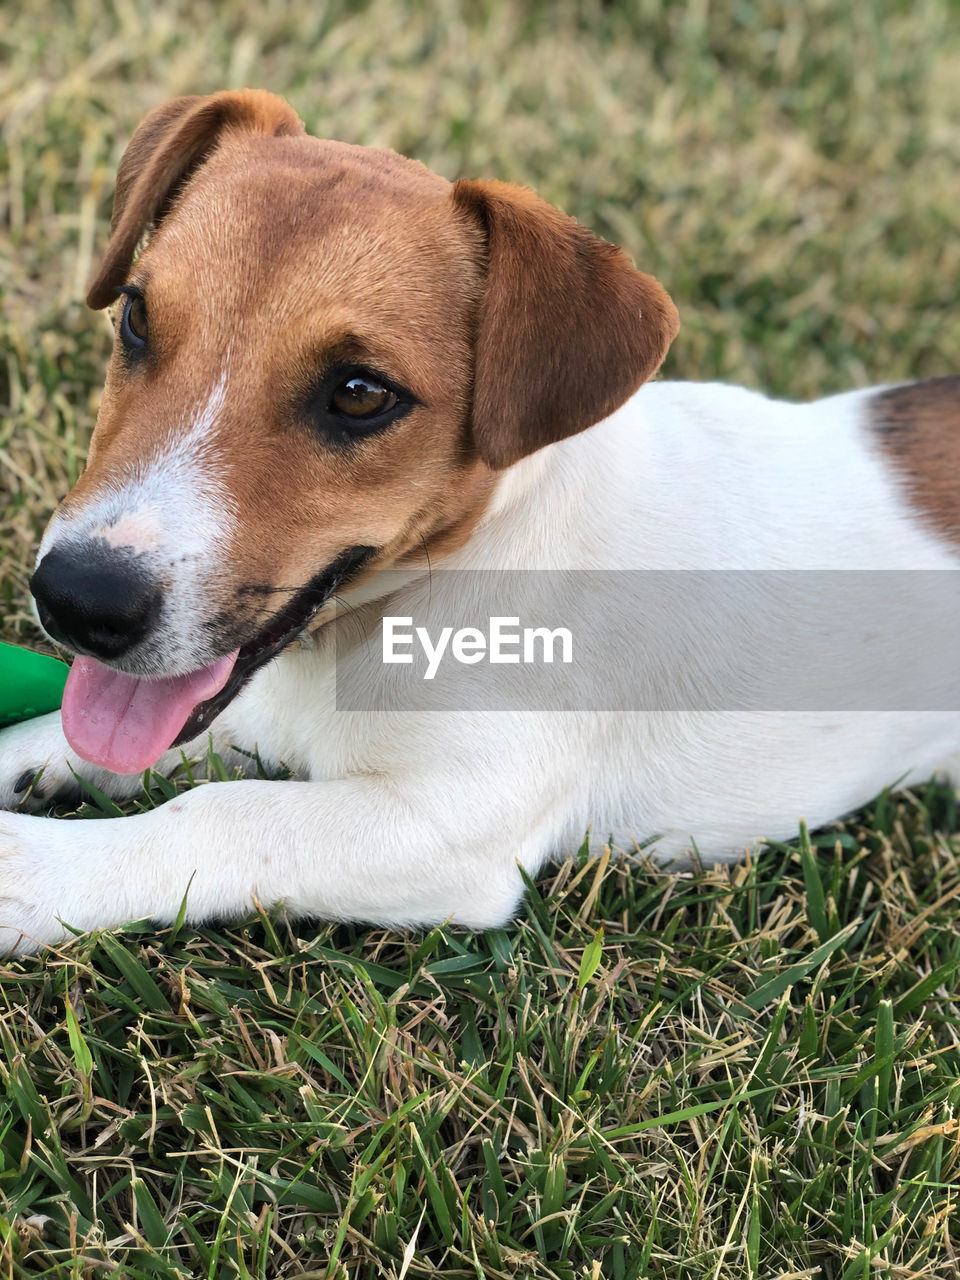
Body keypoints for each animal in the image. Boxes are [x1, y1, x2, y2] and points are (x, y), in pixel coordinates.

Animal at [1, 90, 960, 952]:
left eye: (361, 393)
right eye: (135, 316)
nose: (77, 601)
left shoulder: (445, 825)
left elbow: (218, 816)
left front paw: (33, 871)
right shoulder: (254, 713)